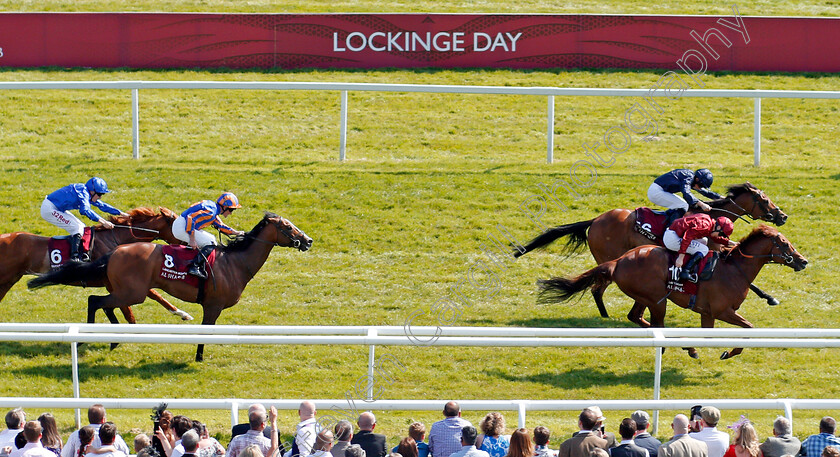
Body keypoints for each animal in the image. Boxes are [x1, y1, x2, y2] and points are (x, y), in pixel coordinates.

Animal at [1, 208, 194, 324]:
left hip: (9, 279)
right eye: (183, 228)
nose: (192, 246)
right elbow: (130, 309)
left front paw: (182, 313)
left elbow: (155, 295)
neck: (115, 240)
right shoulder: (114, 284)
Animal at [29, 212, 314, 362]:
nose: (308, 240)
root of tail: (115, 251)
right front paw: (199, 358)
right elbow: (205, 333)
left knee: (104, 303)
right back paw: (88, 338)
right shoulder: (213, 306)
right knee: (95, 301)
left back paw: (113, 340)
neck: (236, 262)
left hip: (127, 291)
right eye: (287, 227)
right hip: (134, 292)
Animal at [520, 183, 788, 320]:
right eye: (765, 201)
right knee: (597, 288)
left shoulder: (721, 246)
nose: (782, 216)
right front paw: (769, 296)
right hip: (609, 257)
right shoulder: (710, 248)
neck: (713, 216)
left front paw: (769, 295)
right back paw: (607, 317)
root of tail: (595, 220)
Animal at [540, 224, 808, 360]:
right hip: (657, 298)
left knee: (636, 317)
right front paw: (729, 352)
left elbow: (710, 335)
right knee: (656, 324)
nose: (803, 261)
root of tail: (618, 261)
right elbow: (749, 329)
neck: (734, 269)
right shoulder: (722, 311)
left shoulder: (707, 314)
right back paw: (681, 345)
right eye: (785, 244)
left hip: (645, 298)